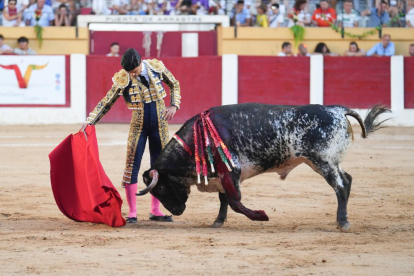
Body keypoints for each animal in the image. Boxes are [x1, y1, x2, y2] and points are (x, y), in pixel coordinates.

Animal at [137, 103, 392, 231]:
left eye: (161, 189)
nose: (177, 211)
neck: (194, 142)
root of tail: (337, 109)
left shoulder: (231, 172)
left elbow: (235, 202)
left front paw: (261, 216)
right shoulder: (221, 174)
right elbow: (224, 199)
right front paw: (218, 221)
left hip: (324, 162)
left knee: (340, 186)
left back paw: (343, 222)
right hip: (324, 163)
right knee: (347, 180)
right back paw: (341, 220)